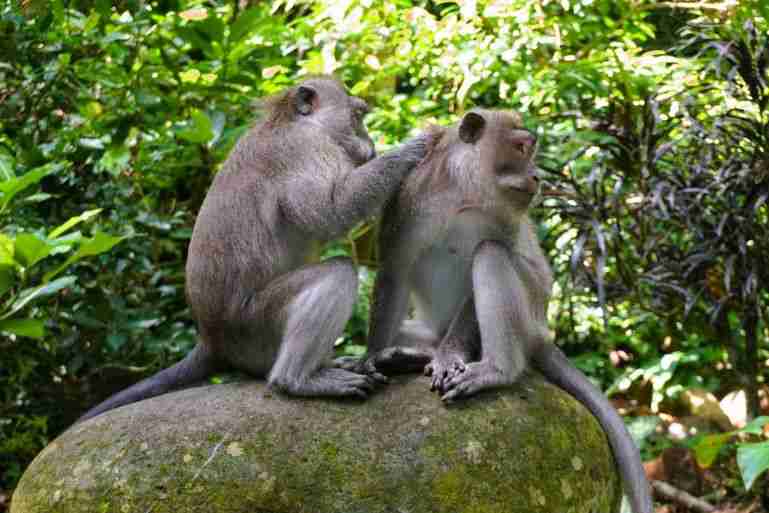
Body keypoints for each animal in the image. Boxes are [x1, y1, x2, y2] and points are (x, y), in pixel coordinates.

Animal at [77, 76, 428, 423]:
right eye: (357, 117)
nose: (370, 143)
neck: (290, 121)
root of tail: (211, 340)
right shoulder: (306, 150)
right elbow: (331, 212)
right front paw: (406, 153)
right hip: (255, 325)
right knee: (336, 272)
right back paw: (297, 380)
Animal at [358, 110, 653, 513]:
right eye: (521, 148)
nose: (537, 176)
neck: (463, 195)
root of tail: (544, 332)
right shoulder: (409, 200)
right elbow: (394, 271)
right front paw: (371, 358)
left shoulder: (504, 219)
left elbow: (491, 254)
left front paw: (449, 359)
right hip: (432, 327)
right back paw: (411, 355)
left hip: (527, 316)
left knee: (491, 254)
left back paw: (495, 370)